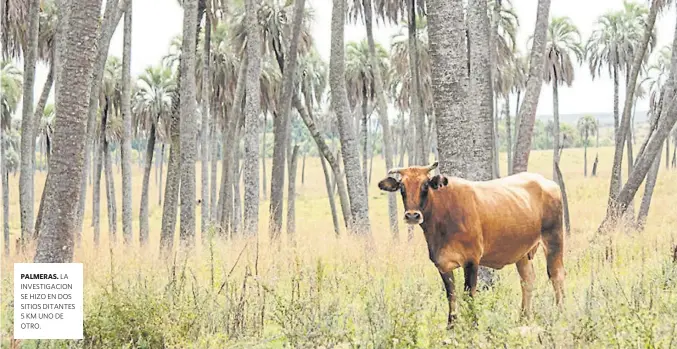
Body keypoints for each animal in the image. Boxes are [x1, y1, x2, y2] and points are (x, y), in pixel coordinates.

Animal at [378, 160, 564, 326]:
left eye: (425, 185)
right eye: (402, 187)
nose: (412, 215)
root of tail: (547, 182)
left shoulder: (471, 260)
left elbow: (469, 294)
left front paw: (472, 325)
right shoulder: (442, 264)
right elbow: (451, 295)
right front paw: (451, 326)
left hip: (553, 239)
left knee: (557, 276)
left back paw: (559, 315)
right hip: (523, 252)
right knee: (527, 280)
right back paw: (523, 318)